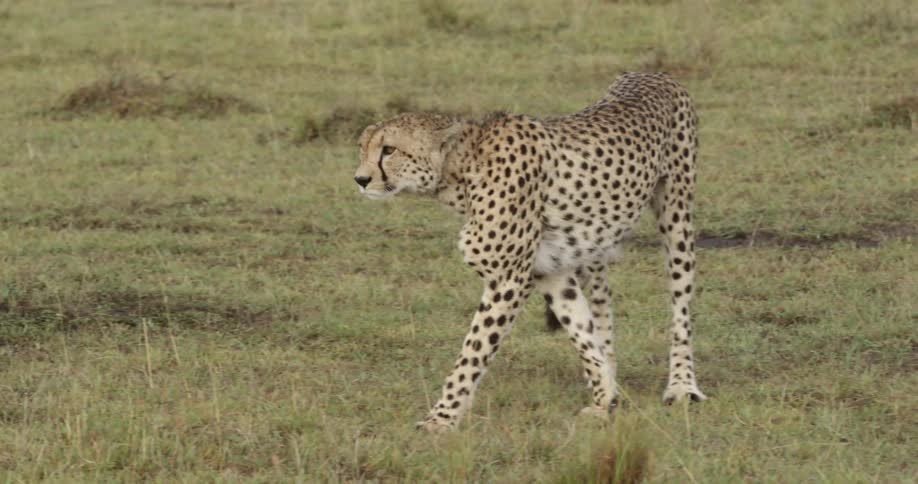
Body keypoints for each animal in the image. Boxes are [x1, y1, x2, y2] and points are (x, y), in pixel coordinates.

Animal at [353, 72, 707, 432]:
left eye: (389, 150)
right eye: (362, 148)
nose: (361, 180)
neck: (461, 170)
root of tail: (651, 74)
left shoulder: (508, 280)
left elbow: (472, 353)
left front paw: (441, 418)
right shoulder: (550, 269)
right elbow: (581, 330)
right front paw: (604, 395)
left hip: (676, 214)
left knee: (681, 305)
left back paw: (682, 385)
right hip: (594, 243)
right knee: (602, 299)